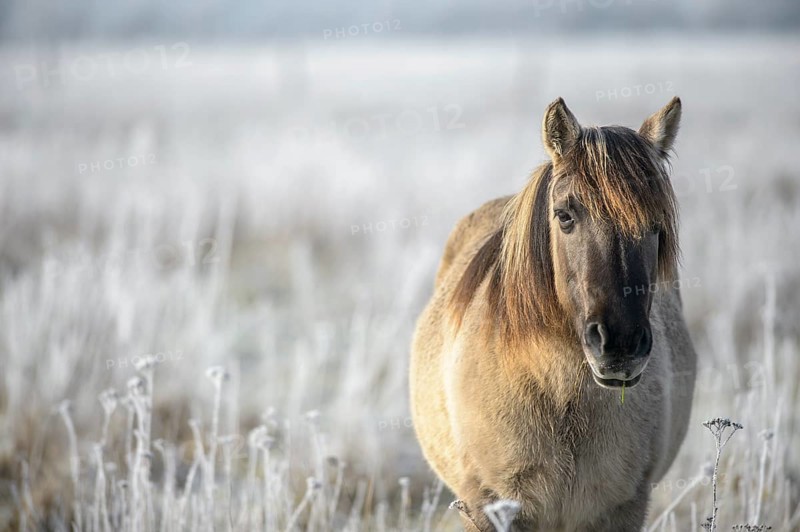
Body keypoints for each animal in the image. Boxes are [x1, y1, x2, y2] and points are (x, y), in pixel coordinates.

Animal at [410, 97, 697, 531]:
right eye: (564, 215)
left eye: (656, 225)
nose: (621, 343)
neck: (560, 396)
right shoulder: (489, 507)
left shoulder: (621, 509)